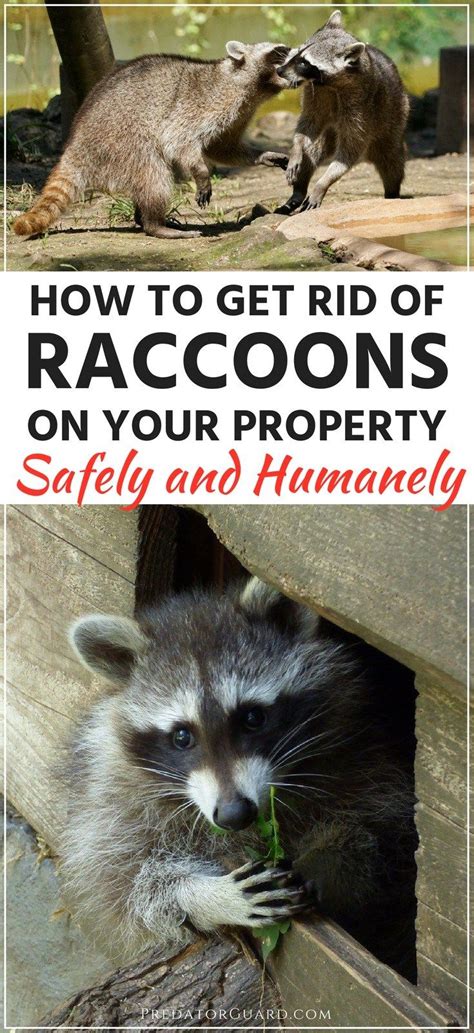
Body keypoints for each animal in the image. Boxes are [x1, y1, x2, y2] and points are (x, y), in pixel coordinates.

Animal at [13, 42, 290, 240]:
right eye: (280, 50)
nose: (296, 50)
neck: (248, 85)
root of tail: (75, 147)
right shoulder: (204, 104)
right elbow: (179, 140)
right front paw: (201, 172)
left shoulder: (239, 114)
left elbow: (221, 148)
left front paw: (261, 155)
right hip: (121, 141)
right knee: (154, 175)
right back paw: (154, 224)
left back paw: (145, 218)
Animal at [62, 577, 416, 977]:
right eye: (182, 736)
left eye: (253, 717)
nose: (234, 814)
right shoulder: (112, 800)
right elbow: (127, 889)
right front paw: (207, 895)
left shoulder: (360, 751)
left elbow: (385, 832)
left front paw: (332, 857)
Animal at [276, 10, 409, 212]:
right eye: (297, 53)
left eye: (305, 63)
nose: (279, 70)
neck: (328, 84)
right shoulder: (315, 95)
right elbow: (307, 125)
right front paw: (296, 147)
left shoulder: (361, 109)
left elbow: (349, 152)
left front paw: (322, 183)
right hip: (330, 132)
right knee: (313, 149)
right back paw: (298, 191)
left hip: (394, 116)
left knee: (391, 160)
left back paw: (392, 192)